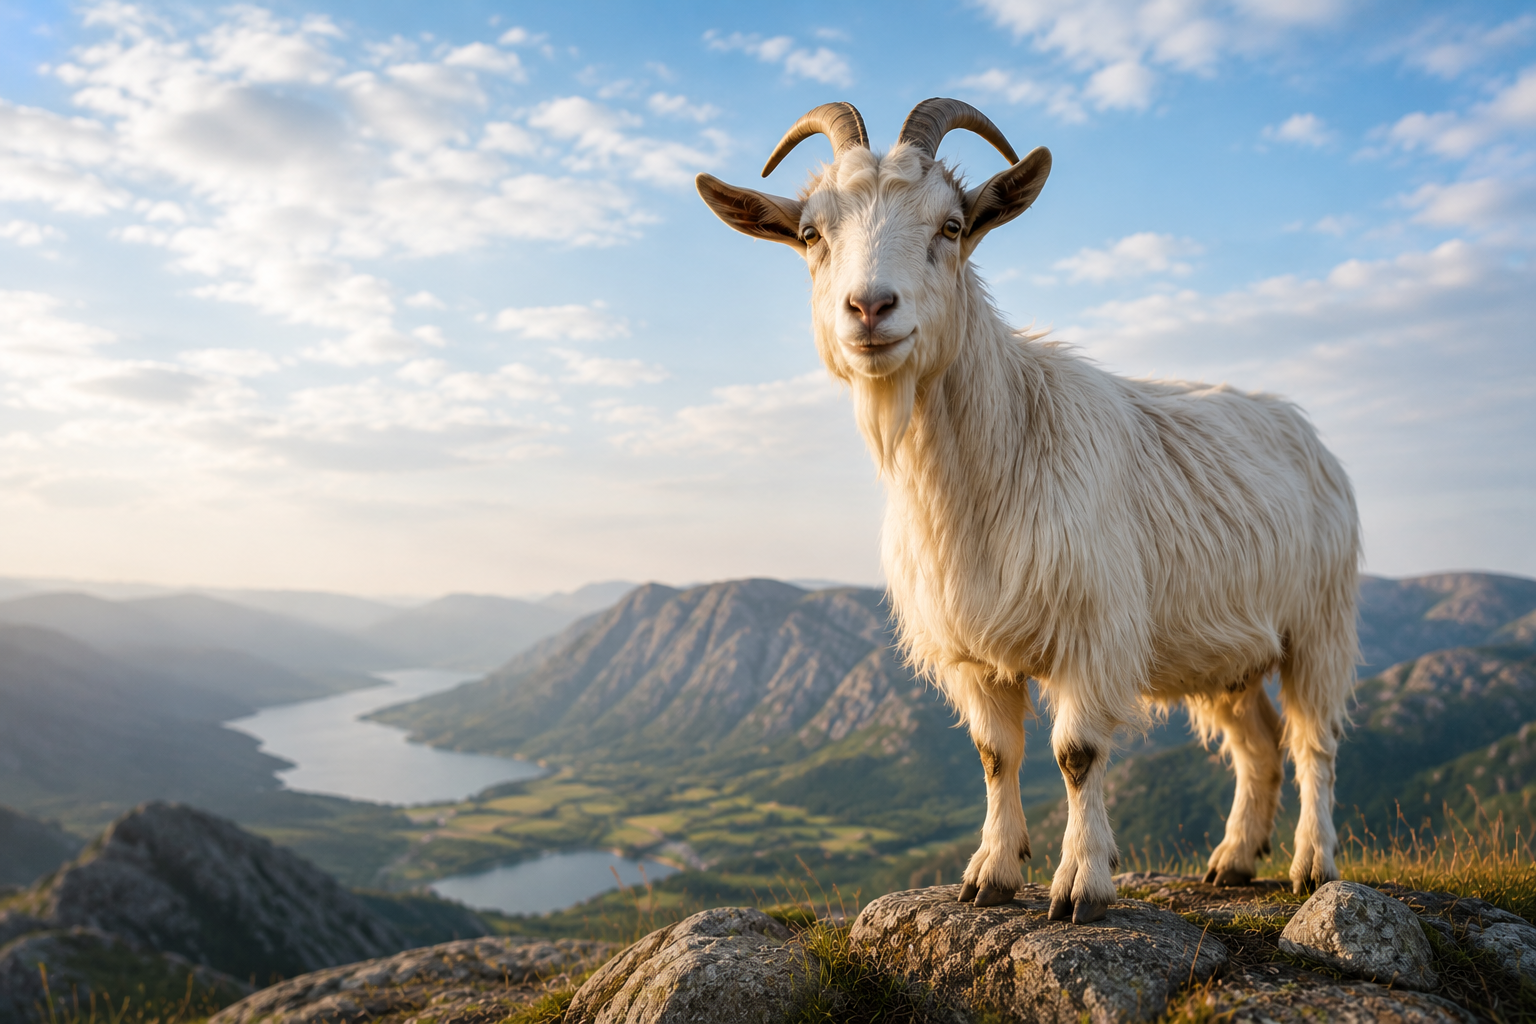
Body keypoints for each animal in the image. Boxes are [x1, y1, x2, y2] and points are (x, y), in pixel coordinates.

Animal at [696, 99, 1360, 923]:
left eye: (951, 226)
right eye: (812, 234)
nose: (870, 308)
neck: (991, 462)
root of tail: (1305, 429)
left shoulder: (1093, 633)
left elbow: (1077, 756)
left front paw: (1082, 884)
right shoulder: (970, 651)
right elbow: (994, 754)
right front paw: (991, 872)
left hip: (1318, 622)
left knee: (1313, 742)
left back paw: (1313, 864)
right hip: (1226, 649)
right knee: (1258, 744)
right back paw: (1234, 860)